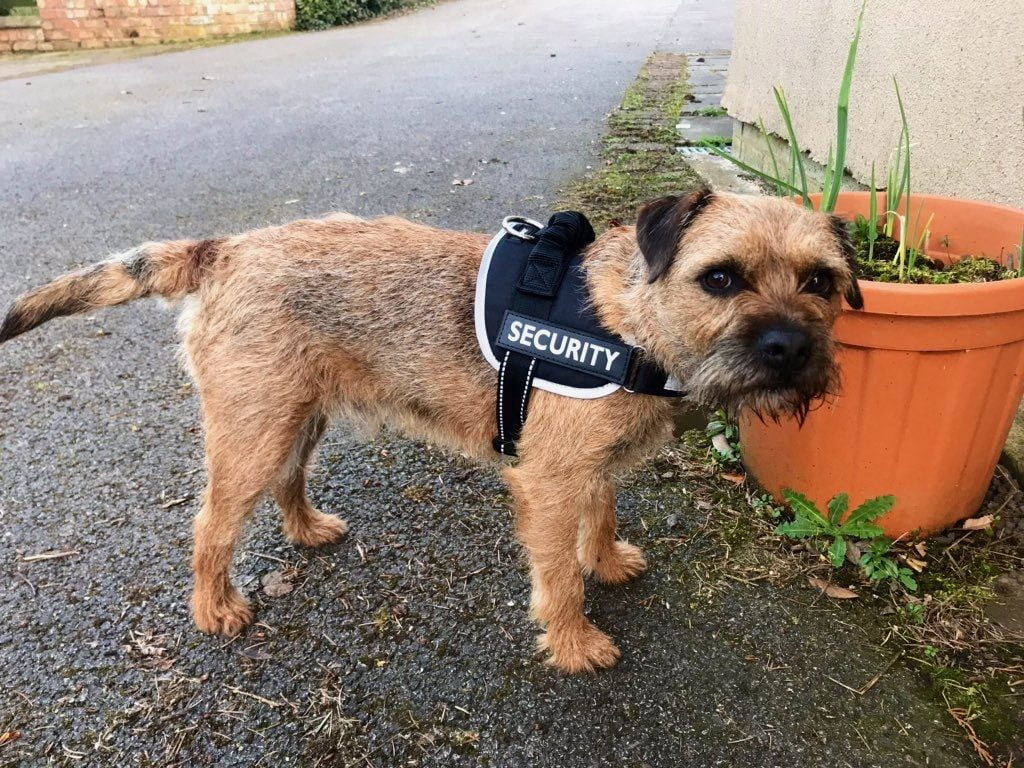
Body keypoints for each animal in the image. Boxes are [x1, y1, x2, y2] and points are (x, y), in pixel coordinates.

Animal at [0, 189, 860, 675]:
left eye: (821, 282)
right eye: (720, 278)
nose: (789, 348)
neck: (628, 321)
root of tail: (225, 249)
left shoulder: (589, 467)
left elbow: (603, 512)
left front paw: (608, 559)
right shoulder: (549, 481)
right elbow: (557, 576)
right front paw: (573, 643)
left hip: (297, 417)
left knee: (289, 480)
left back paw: (307, 529)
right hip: (253, 431)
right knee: (212, 523)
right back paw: (215, 607)